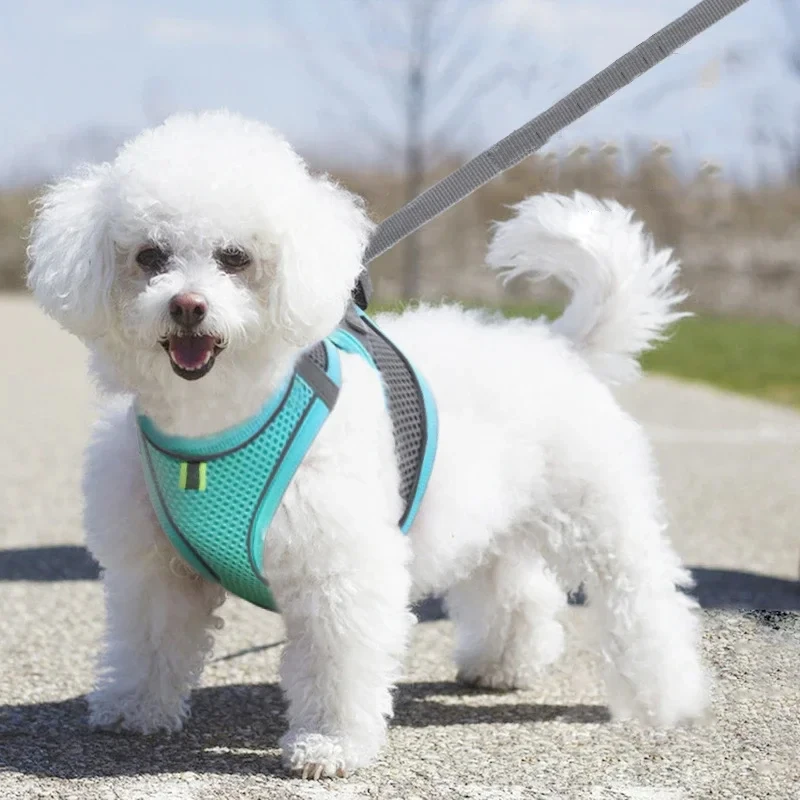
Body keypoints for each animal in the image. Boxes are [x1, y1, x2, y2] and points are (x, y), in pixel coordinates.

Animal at [28, 109, 708, 780]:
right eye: (150, 255)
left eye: (234, 257)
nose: (187, 306)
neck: (214, 429)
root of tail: (562, 345)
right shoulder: (154, 568)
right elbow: (150, 642)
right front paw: (136, 709)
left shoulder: (341, 569)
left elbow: (336, 665)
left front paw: (328, 746)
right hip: (493, 525)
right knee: (515, 591)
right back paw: (503, 664)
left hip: (601, 520)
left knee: (643, 601)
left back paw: (666, 698)